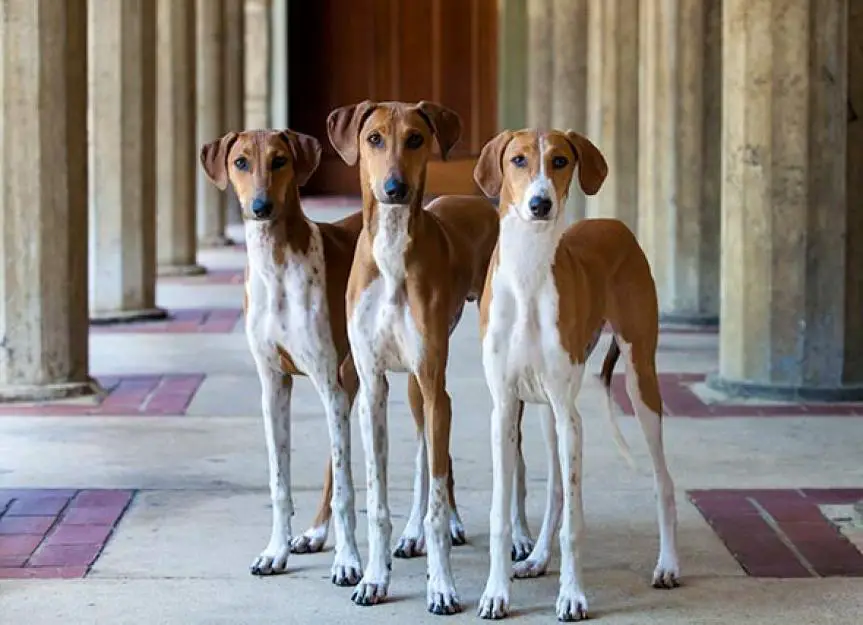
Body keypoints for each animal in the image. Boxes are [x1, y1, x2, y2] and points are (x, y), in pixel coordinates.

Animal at [326, 100, 500, 612]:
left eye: (416, 139)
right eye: (374, 138)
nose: (394, 189)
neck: (391, 250)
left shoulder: (434, 382)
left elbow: (438, 503)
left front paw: (441, 586)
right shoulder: (373, 386)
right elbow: (381, 497)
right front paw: (373, 577)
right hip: (414, 387)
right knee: (426, 458)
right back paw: (410, 535)